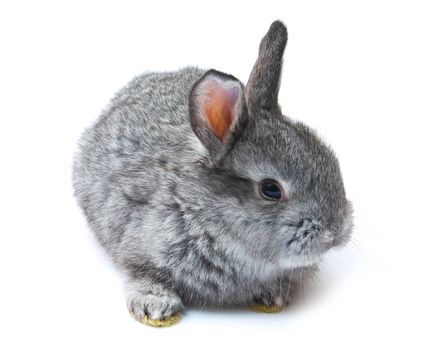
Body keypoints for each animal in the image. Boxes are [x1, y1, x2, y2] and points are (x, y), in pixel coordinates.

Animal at [73, 20, 354, 326]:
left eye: (327, 159)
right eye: (271, 189)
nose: (335, 232)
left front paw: (272, 299)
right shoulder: (139, 247)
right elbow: (144, 274)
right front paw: (156, 308)